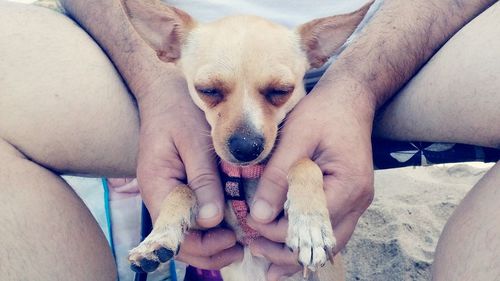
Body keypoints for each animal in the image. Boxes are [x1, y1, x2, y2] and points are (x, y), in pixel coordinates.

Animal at [125, 1, 374, 278]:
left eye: (281, 91)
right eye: (207, 90)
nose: (246, 147)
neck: (245, 176)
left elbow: (304, 164)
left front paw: (309, 226)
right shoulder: (215, 227)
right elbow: (183, 189)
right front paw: (158, 238)